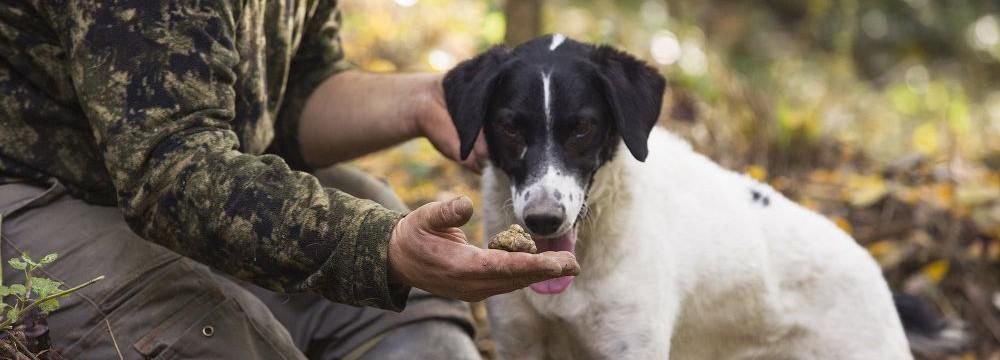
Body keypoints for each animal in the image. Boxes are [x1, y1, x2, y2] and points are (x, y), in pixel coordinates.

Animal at [444, 34, 952, 360]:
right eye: (510, 127)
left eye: (583, 128)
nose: (543, 220)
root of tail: (876, 274)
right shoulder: (521, 343)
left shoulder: (630, 348)